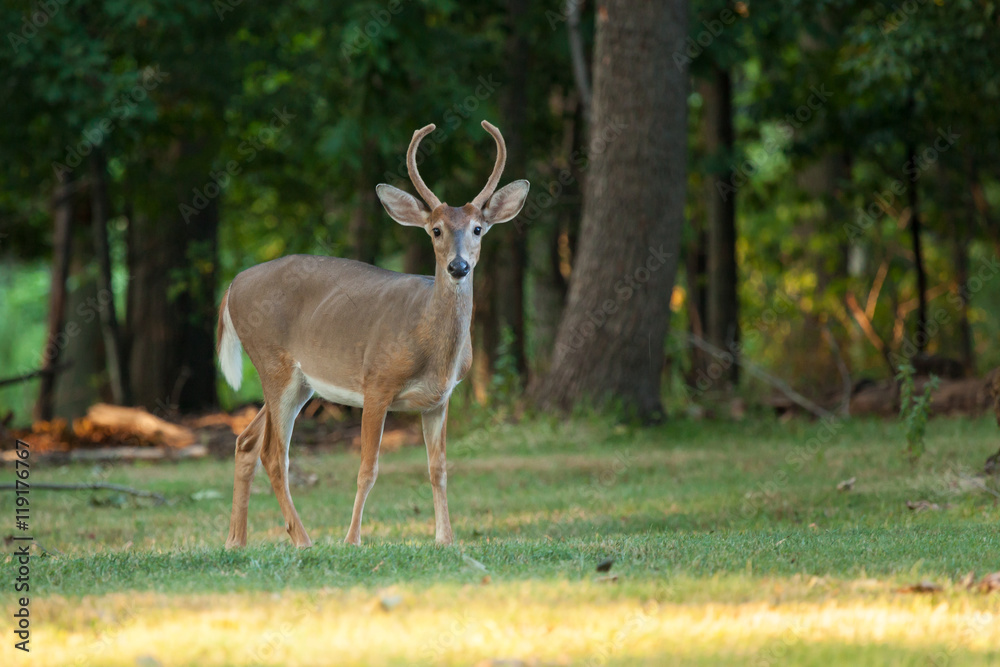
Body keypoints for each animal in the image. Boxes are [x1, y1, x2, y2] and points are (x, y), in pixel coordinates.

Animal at [217, 120, 532, 548]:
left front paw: (445, 539)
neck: (431, 347)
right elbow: (368, 467)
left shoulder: (439, 399)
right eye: (435, 230)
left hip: (300, 382)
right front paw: (352, 540)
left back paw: (236, 540)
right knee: (273, 453)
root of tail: (233, 284)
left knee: (246, 440)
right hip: (272, 361)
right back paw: (303, 539)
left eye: (478, 229)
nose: (458, 266)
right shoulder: (377, 382)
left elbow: (438, 469)